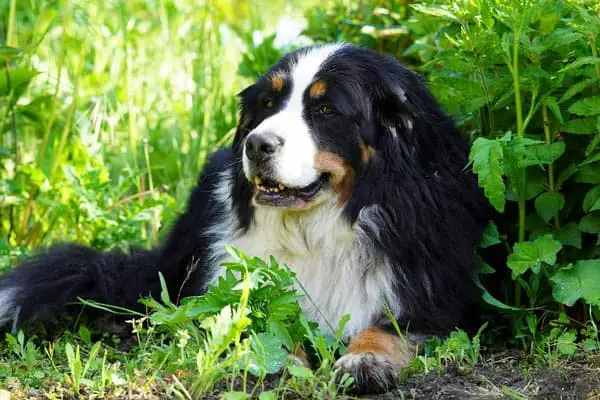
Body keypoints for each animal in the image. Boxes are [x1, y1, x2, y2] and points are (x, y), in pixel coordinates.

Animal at [0, 43, 488, 394]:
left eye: (326, 109)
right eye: (269, 102)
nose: (257, 144)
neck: (317, 227)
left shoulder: (426, 287)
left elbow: (387, 328)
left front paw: (365, 361)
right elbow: (258, 323)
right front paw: (279, 359)